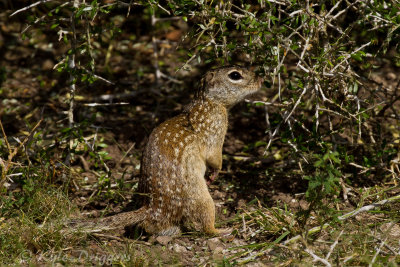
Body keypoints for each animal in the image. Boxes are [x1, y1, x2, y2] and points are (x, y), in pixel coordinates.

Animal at [77, 66, 262, 237]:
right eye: (235, 75)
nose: (260, 80)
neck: (209, 102)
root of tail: (151, 207)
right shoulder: (215, 131)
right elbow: (215, 157)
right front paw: (215, 173)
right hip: (202, 199)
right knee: (206, 227)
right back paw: (224, 230)